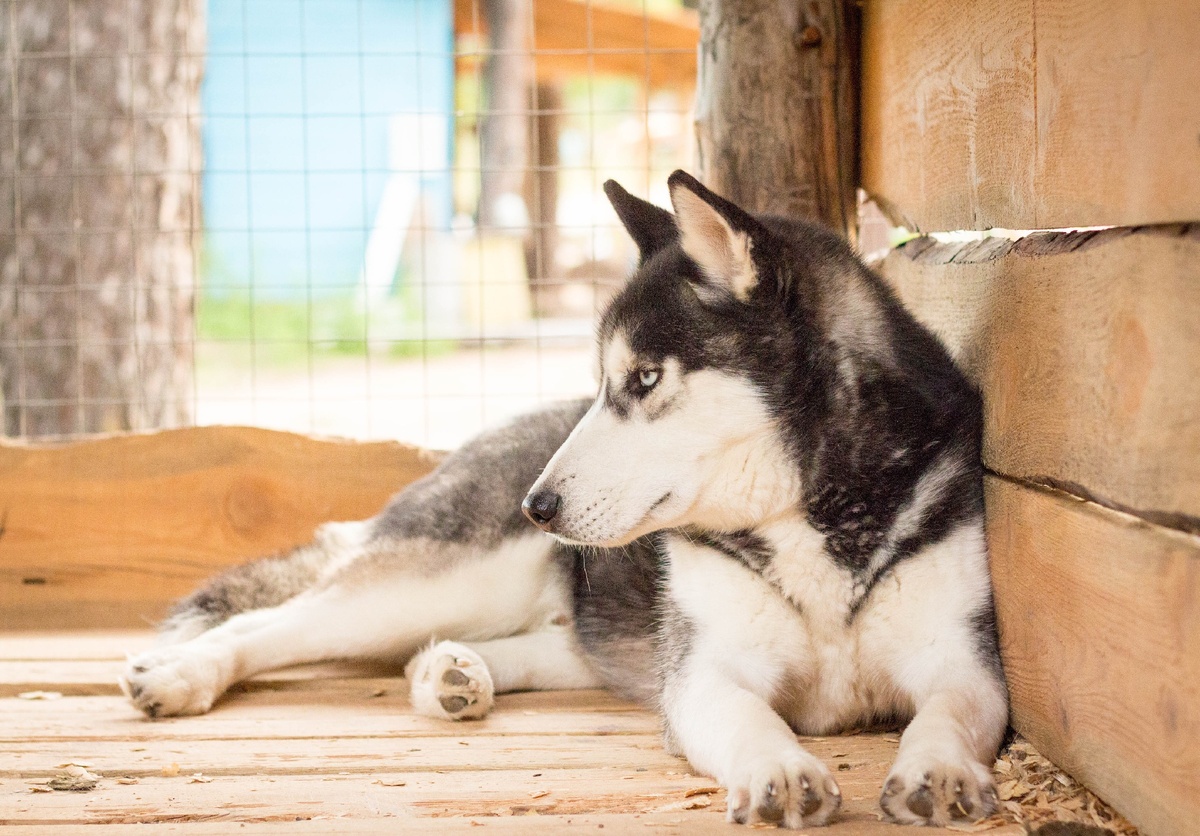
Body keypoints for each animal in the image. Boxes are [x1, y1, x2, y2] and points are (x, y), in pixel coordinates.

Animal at [121, 171, 1008, 830]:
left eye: (643, 379)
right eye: (604, 382)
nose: (536, 506)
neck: (803, 514)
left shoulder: (964, 660)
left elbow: (946, 712)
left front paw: (938, 769)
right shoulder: (705, 673)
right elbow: (750, 718)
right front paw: (779, 769)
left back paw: (452, 672)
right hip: (437, 583)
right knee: (269, 623)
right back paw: (182, 673)